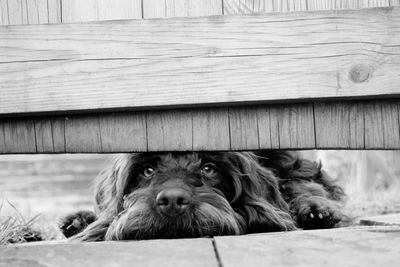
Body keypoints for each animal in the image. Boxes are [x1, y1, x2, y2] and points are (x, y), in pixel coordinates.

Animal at [59, 152, 346, 242]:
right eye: (147, 170)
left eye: (208, 168)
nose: (172, 201)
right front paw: (83, 221)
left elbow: (301, 186)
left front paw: (315, 208)